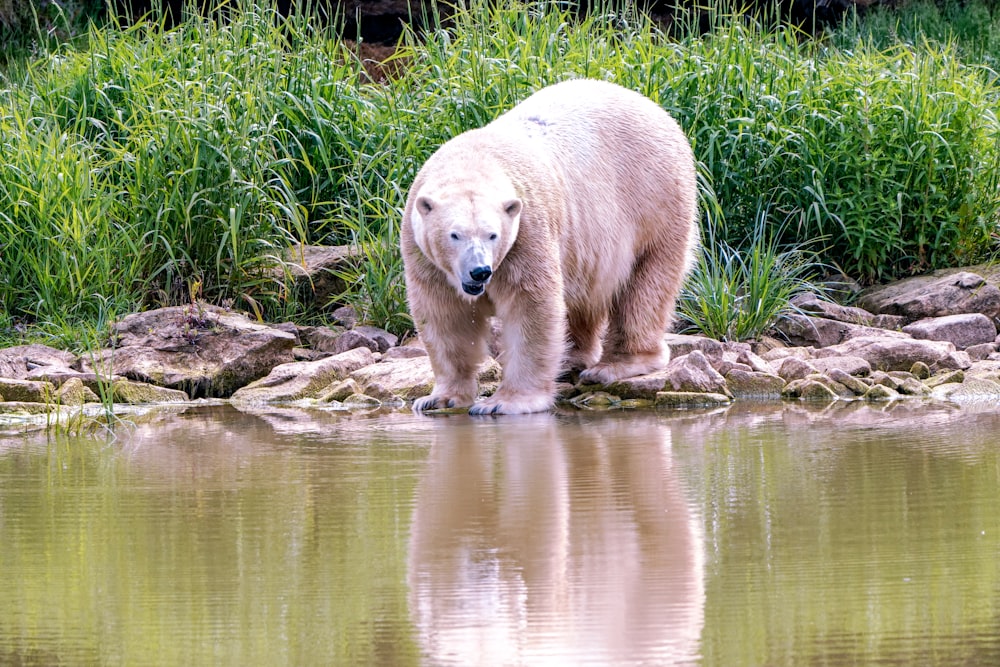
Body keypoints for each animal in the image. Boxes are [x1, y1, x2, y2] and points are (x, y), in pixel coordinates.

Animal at [398, 77, 696, 412]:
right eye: (455, 235)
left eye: (492, 234)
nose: (480, 272)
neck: (473, 160)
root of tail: (654, 107)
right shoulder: (424, 255)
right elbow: (445, 316)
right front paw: (440, 398)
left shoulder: (526, 233)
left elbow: (530, 308)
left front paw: (503, 402)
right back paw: (571, 359)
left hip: (654, 202)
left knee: (644, 286)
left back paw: (614, 365)